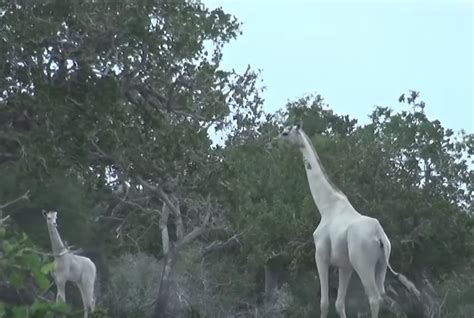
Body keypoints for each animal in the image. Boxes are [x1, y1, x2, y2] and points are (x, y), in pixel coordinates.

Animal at [276, 123, 420, 318]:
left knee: (374, 298)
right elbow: (339, 303)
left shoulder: (321, 256)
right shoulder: (345, 266)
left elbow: (324, 303)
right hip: (381, 265)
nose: (274, 142)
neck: (326, 206)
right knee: (384, 297)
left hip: (363, 264)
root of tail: (380, 237)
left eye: (285, 132)